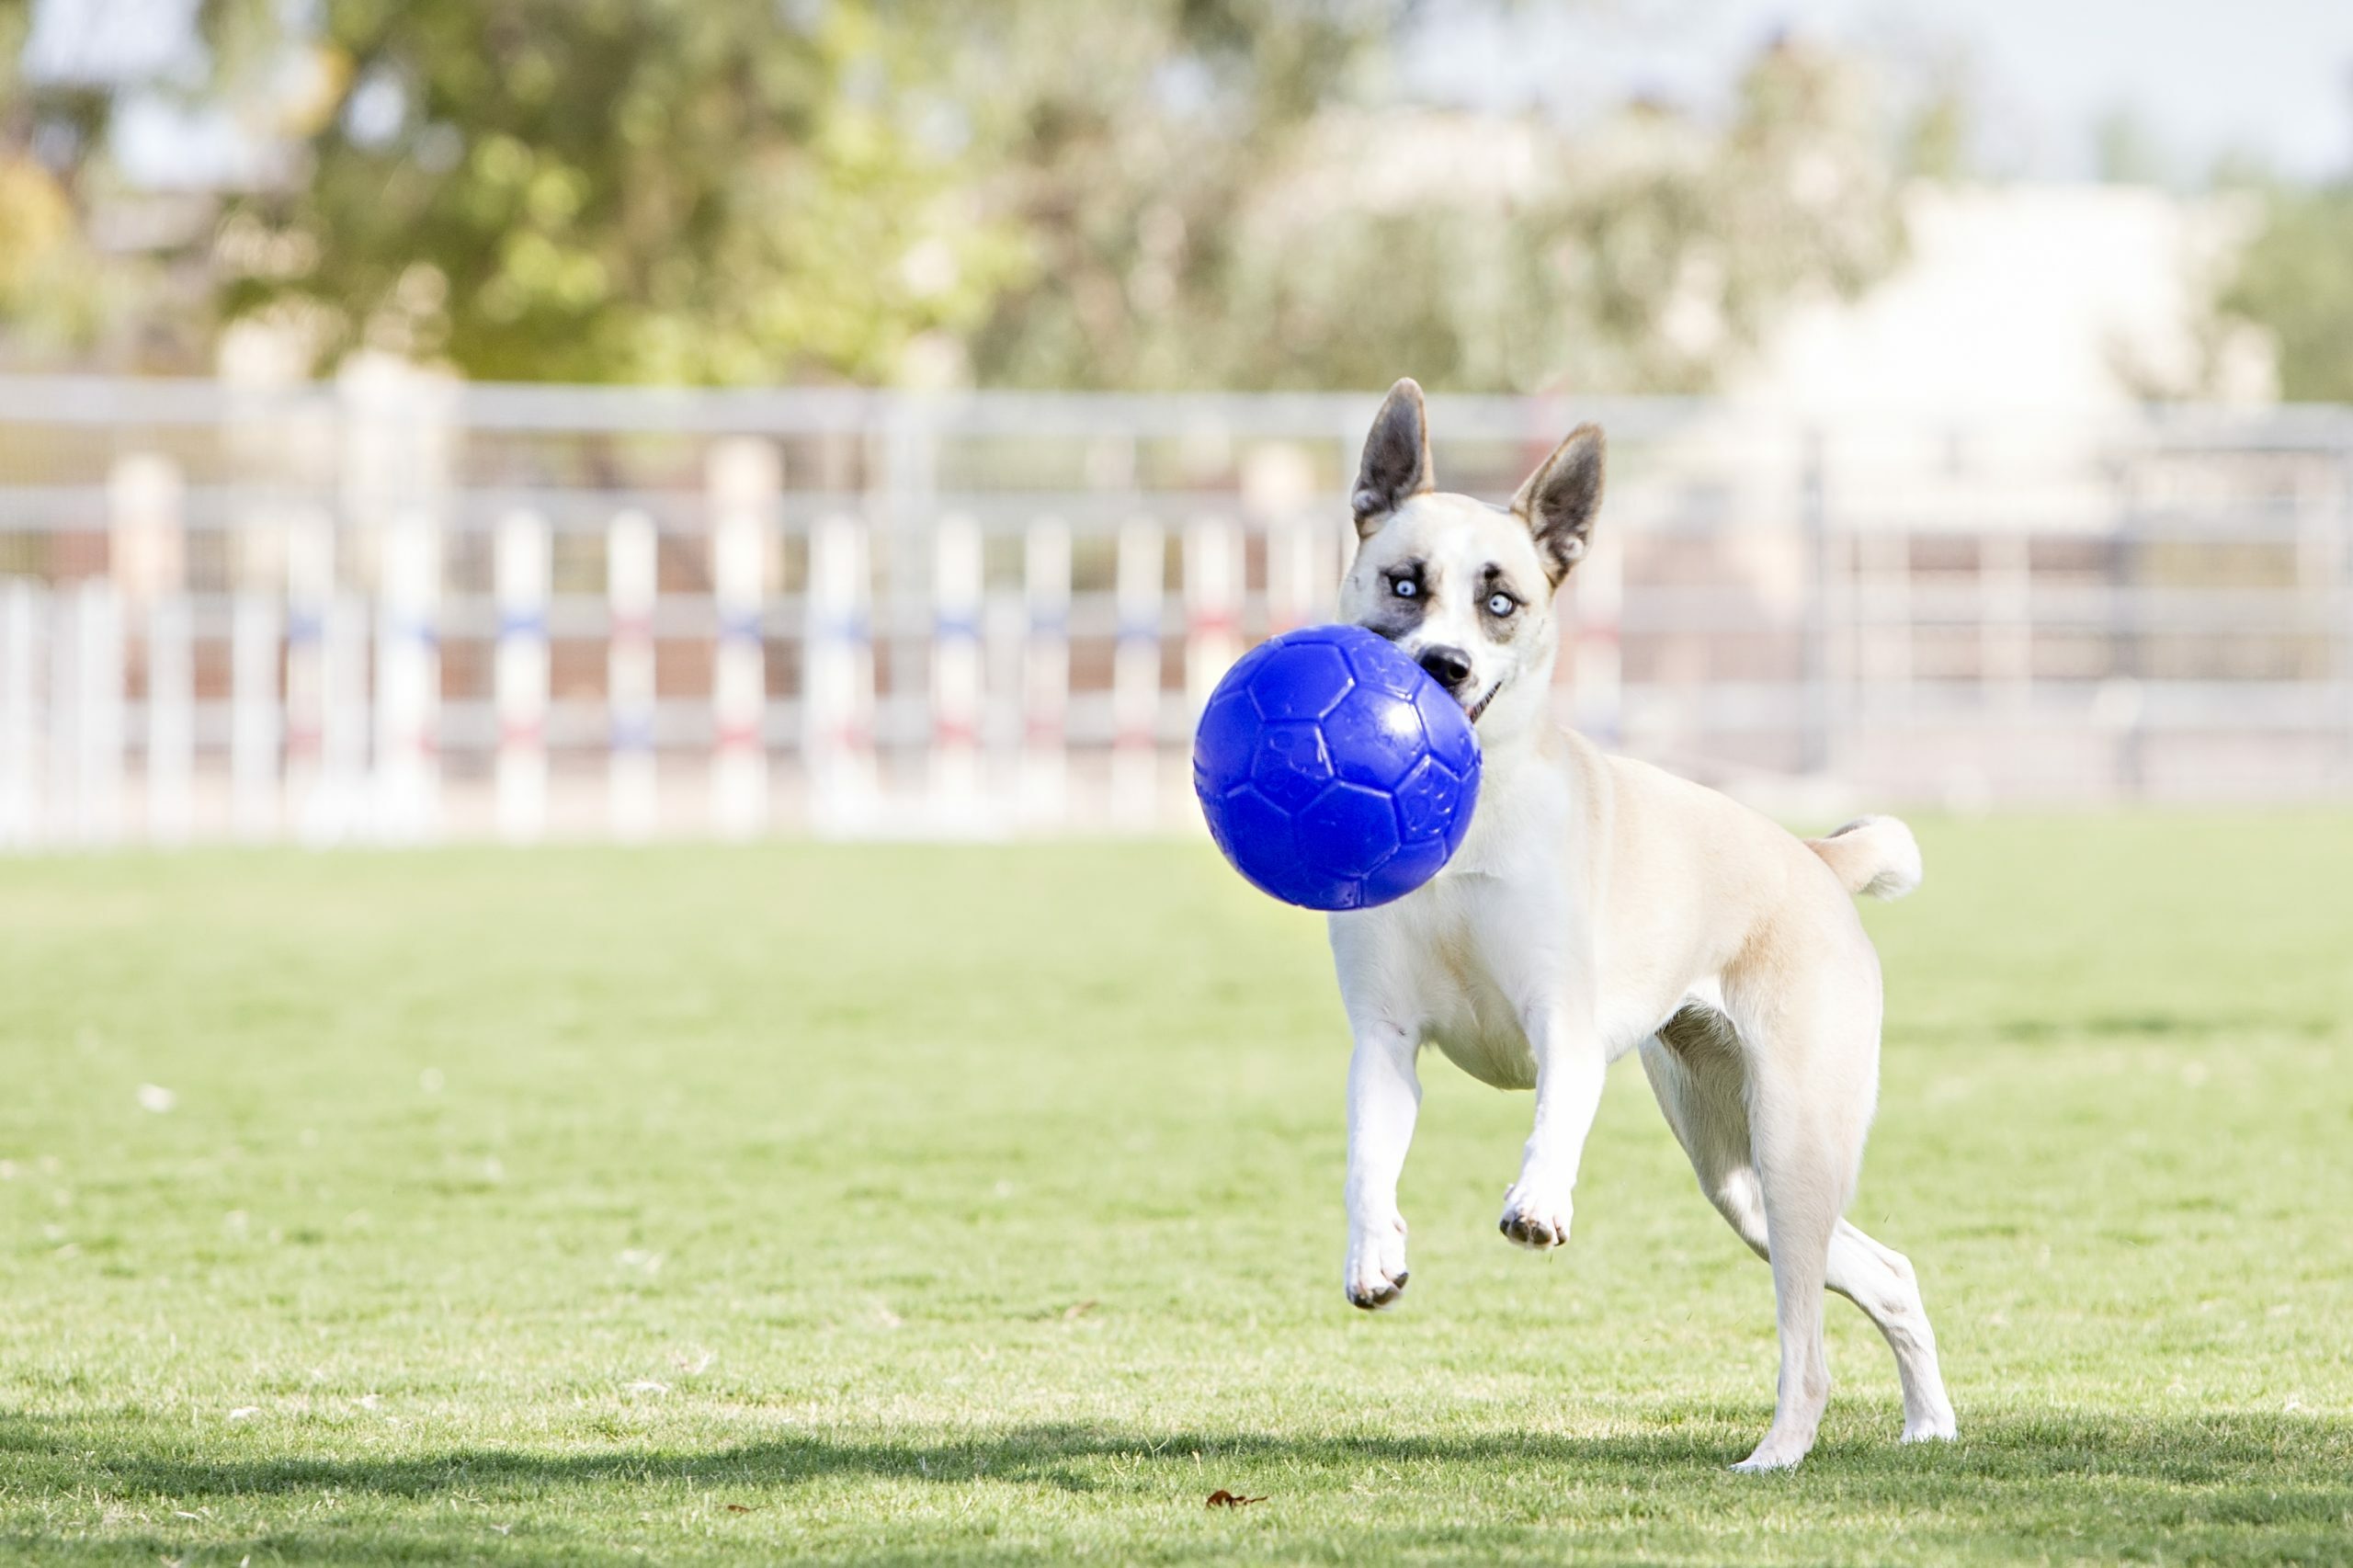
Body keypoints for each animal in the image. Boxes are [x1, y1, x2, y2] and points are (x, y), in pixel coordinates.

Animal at [1336, 376, 1957, 1469]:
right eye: (1405, 583)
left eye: (1502, 601)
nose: (1445, 666)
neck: (1470, 815)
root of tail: (1811, 857)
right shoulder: (1384, 1036)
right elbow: (1371, 1155)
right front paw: (1374, 1256)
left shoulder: (1564, 1022)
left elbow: (1554, 1118)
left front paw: (1537, 1203)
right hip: (1733, 1169)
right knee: (1885, 1271)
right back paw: (1929, 1422)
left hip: (1795, 1140)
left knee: (1808, 1343)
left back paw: (1777, 1452)